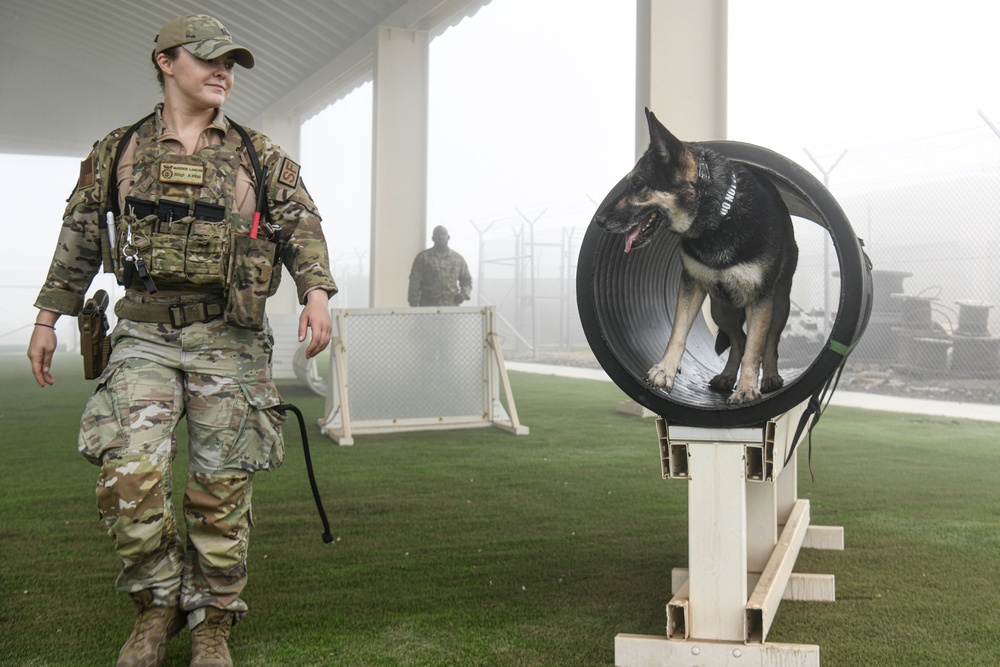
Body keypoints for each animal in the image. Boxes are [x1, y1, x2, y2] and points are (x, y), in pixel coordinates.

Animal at [592, 110, 796, 404]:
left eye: (638, 184)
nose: (598, 220)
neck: (719, 215)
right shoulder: (691, 285)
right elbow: (678, 331)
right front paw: (664, 371)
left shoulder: (760, 297)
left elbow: (756, 347)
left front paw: (747, 388)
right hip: (721, 309)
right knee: (739, 340)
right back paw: (726, 377)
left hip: (778, 305)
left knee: (768, 342)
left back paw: (769, 377)